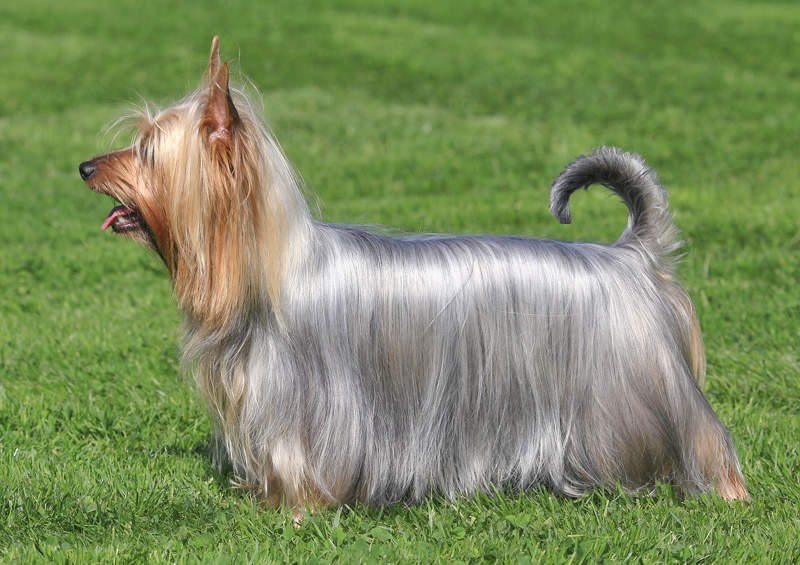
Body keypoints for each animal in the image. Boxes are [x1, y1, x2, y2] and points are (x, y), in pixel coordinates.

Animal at [78, 34, 748, 516]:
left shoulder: (314, 407)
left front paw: (299, 510)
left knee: (704, 436)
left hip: (641, 384)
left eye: (146, 152)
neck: (268, 275)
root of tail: (629, 254)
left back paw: (725, 491)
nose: (85, 166)